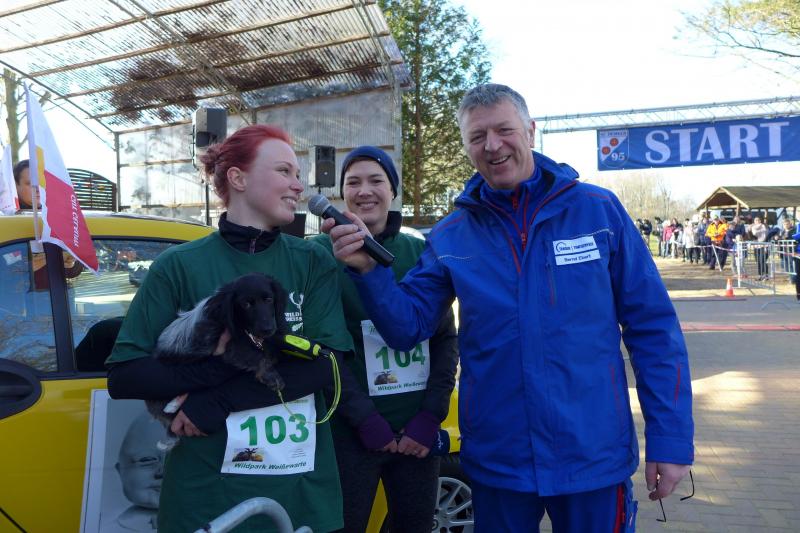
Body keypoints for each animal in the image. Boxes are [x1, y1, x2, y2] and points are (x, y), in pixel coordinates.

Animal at [146, 273, 289, 431]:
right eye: (245, 304)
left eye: (269, 299)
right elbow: (257, 356)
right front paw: (272, 376)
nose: (267, 329)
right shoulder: (233, 347)